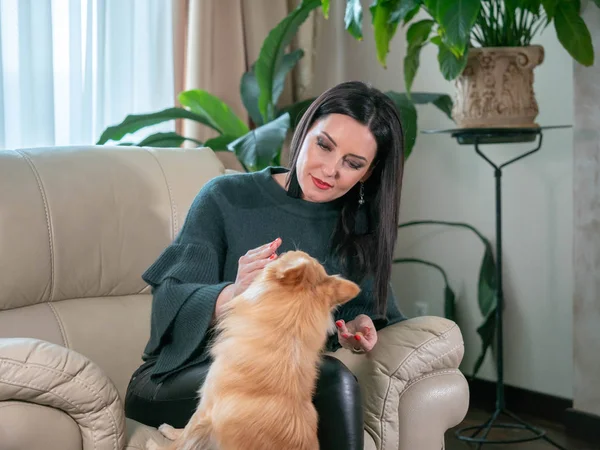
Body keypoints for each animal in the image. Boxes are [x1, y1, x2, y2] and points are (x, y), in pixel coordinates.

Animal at [145, 250, 360, 450]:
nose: (285, 250)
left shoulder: (207, 406)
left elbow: (184, 438)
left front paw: (159, 442)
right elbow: (186, 432)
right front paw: (171, 431)